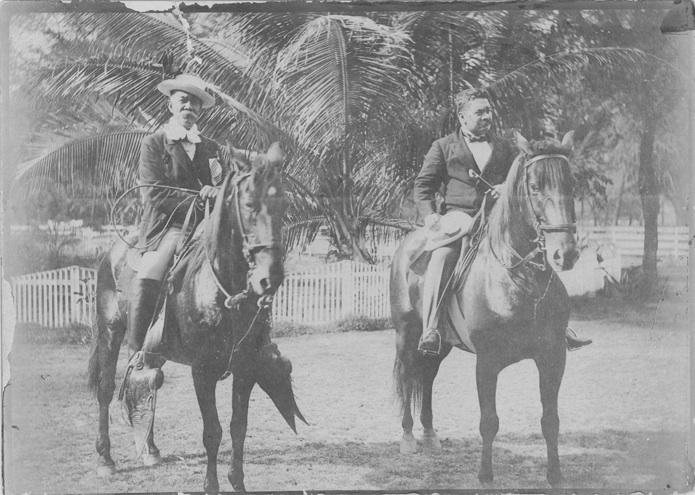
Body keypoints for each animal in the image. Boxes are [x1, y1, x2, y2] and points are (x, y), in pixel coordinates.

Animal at [86, 142, 304, 492]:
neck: (223, 288)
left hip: (154, 350)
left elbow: (238, 427)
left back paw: (150, 449)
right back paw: (105, 458)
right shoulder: (202, 371)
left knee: (150, 383)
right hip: (110, 331)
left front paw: (237, 482)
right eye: (249, 204)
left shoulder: (245, 368)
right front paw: (211, 485)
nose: (270, 278)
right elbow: (212, 432)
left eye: (283, 203)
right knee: (106, 390)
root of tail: (113, 252)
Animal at [392, 132, 580, 488]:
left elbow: (551, 419)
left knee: (428, 375)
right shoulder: (488, 362)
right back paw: (408, 437)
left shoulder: (553, 357)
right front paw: (485, 476)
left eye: (571, 183)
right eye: (534, 186)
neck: (520, 278)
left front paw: (555, 475)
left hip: (441, 346)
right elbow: (489, 421)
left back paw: (429, 434)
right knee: (410, 376)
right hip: (406, 333)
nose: (566, 253)